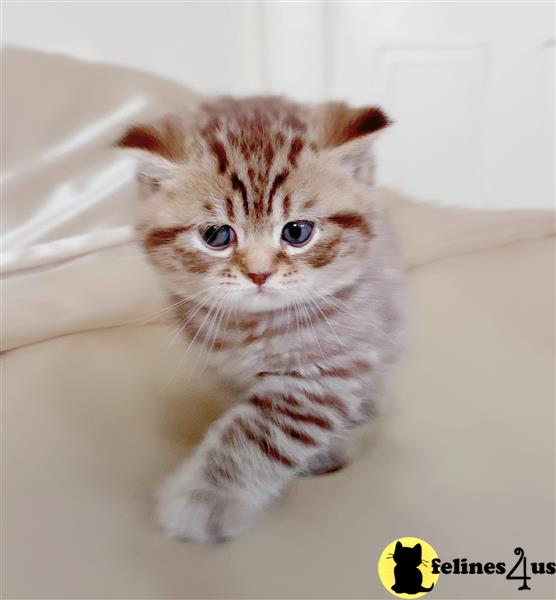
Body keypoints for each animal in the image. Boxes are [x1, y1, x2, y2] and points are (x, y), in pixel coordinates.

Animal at [117, 96, 404, 540]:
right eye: (217, 236)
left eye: (297, 232)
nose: (259, 274)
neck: (250, 328)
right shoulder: (222, 368)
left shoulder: (322, 372)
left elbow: (257, 433)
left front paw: (206, 497)